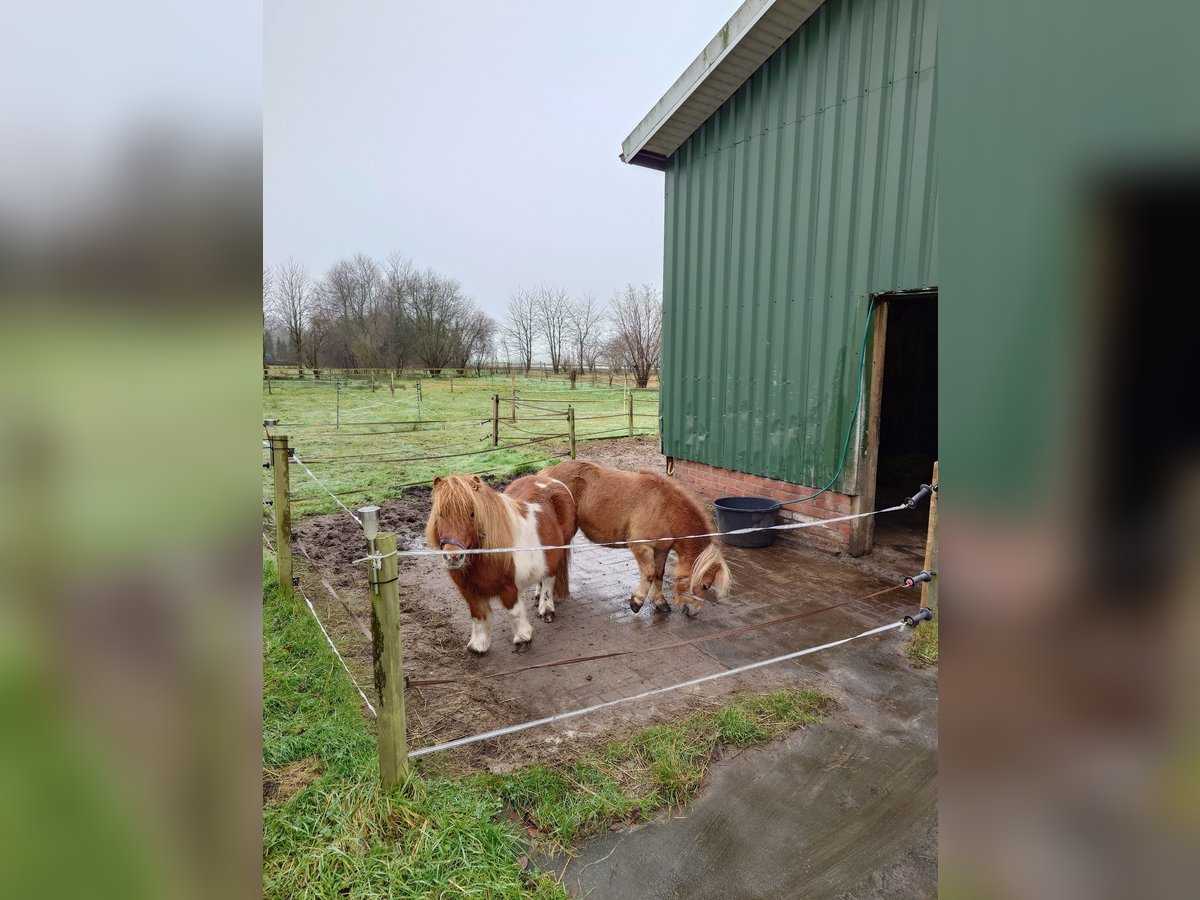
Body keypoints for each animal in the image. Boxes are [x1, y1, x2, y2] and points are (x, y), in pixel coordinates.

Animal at [424, 472, 578, 657]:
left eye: (472, 513)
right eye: (440, 514)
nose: (453, 557)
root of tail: (550, 479)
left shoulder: (508, 587)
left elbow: (514, 612)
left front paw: (523, 639)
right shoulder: (468, 590)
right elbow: (477, 615)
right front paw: (478, 646)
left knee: (549, 579)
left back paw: (546, 610)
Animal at [537, 460, 724, 619]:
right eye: (706, 586)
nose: (693, 612)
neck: (664, 508)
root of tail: (546, 474)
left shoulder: (661, 550)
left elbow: (659, 575)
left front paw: (660, 602)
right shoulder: (642, 547)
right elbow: (649, 574)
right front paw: (637, 602)